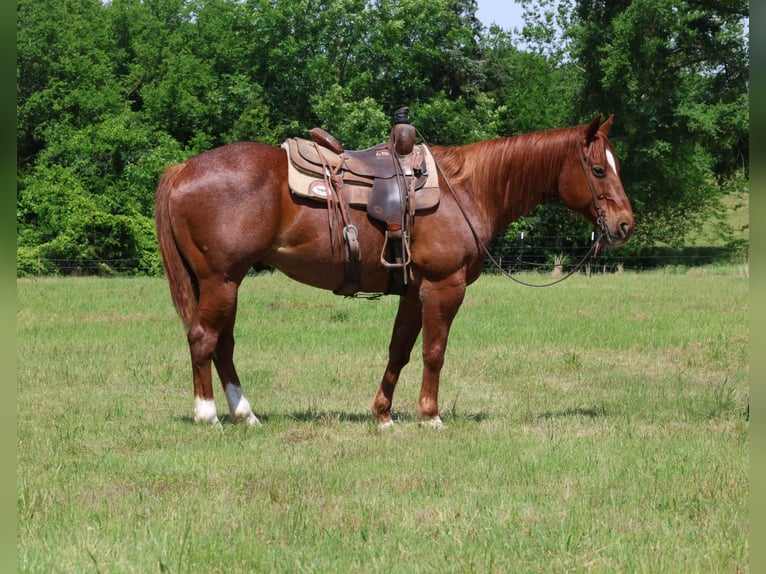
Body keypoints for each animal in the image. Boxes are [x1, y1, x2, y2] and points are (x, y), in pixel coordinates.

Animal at [154, 114, 634, 429]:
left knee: (223, 346)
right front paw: (431, 416)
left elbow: (399, 351)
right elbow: (434, 353)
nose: (625, 225)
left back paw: (246, 414)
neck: (467, 190)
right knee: (204, 339)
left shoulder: (413, 292)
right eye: (597, 169)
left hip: (223, 283)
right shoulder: (444, 287)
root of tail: (183, 168)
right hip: (220, 281)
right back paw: (208, 415)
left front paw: (383, 415)